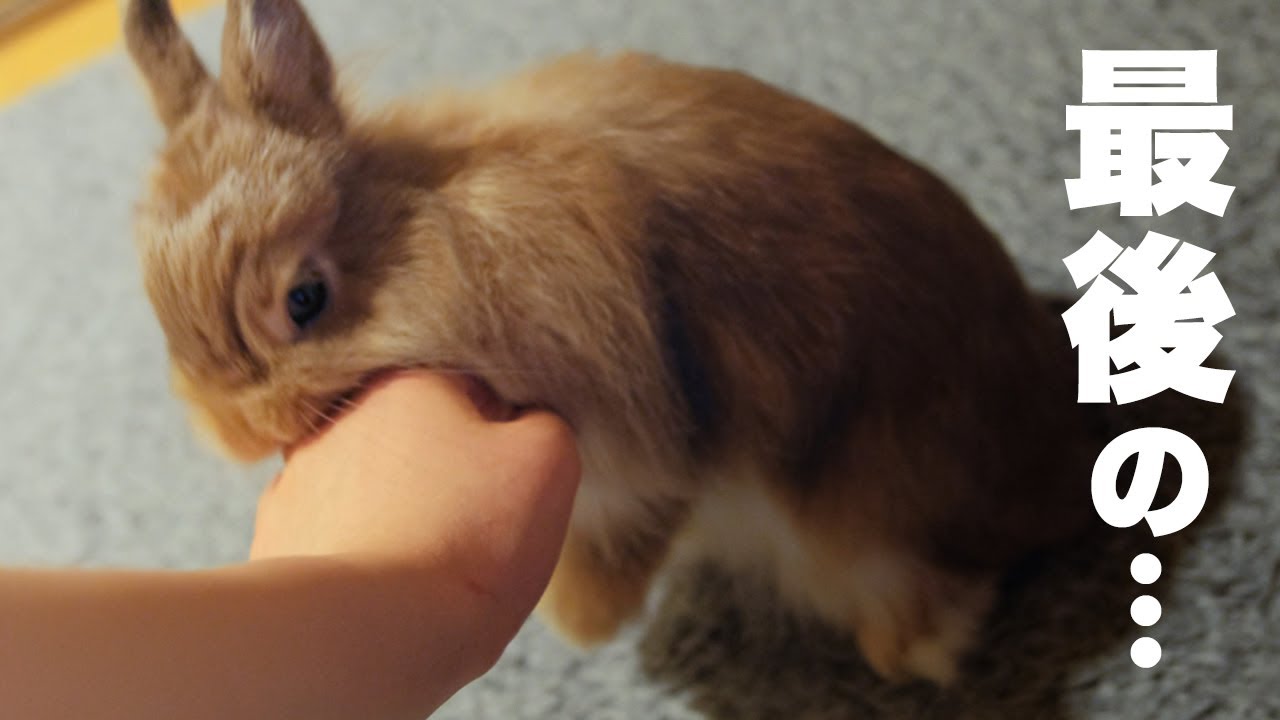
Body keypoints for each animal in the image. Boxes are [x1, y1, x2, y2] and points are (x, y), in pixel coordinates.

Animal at [122, 0, 1096, 685]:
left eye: (307, 299)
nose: (239, 433)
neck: (430, 218)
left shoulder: (634, 440)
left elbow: (638, 516)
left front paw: (584, 621)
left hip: (871, 519)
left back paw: (905, 650)